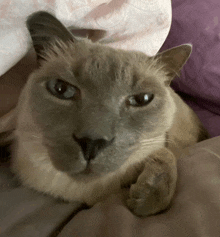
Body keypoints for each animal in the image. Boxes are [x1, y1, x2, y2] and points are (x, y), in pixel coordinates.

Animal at [0, 11, 208, 217]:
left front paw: (146, 202)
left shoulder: (161, 143)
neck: (86, 194)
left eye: (141, 99)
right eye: (62, 89)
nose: (92, 142)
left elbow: (165, 156)